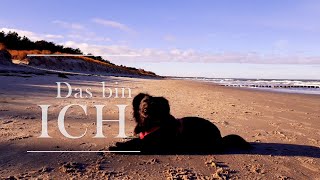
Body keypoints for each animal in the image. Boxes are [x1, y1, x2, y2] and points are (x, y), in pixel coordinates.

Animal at [109, 93, 251, 154]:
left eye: (155, 105)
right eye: (144, 102)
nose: (145, 110)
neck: (152, 123)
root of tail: (220, 137)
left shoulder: (150, 145)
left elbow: (136, 145)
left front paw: (116, 148)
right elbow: (133, 141)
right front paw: (120, 143)